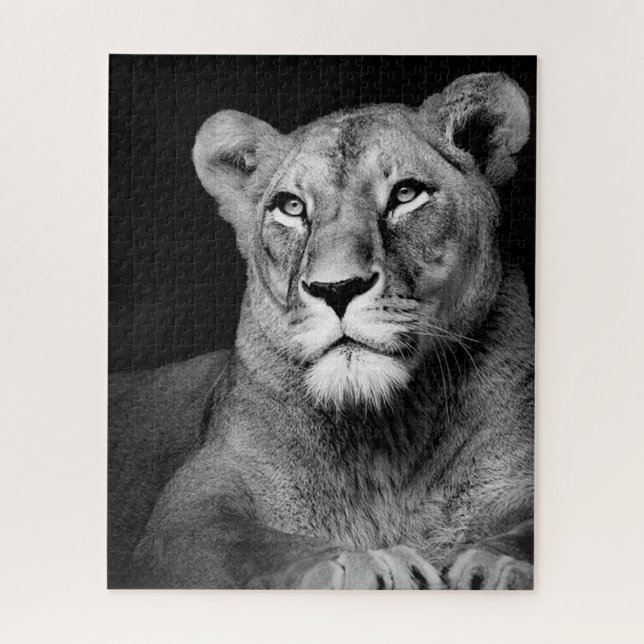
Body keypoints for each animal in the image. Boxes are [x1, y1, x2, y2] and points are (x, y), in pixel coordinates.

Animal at [108, 72, 534, 590]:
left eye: (406, 194)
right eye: (291, 206)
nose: (336, 288)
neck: (387, 434)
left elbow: (527, 531)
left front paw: (498, 566)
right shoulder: (186, 513)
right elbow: (254, 547)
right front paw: (367, 565)